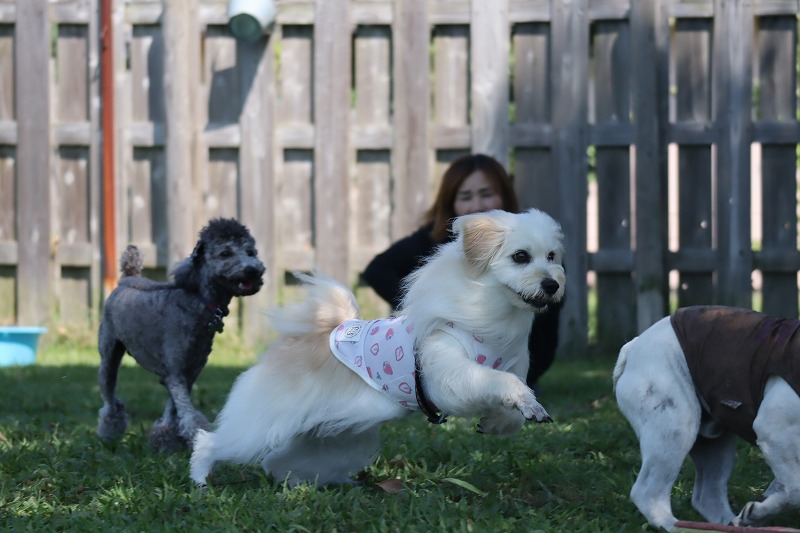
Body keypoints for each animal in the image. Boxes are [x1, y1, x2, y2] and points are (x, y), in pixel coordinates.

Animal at [97, 218, 265, 451]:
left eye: (250, 252)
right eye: (225, 253)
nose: (253, 270)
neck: (199, 303)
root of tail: (127, 278)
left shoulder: (189, 371)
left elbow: (174, 409)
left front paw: (167, 440)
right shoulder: (175, 372)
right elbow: (187, 413)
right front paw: (195, 440)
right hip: (109, 354)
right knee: (109, 397)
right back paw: (108, 432)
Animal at [190, 208, 566, 487]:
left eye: (551, 256)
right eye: (520, 256)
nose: (552, 284)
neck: (493, 318)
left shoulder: (513, 364)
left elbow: (512, 397)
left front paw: (503, 421)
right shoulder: (450, 376)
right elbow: (500, 381)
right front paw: (521, 404)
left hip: (335, 438)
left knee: (279, 461)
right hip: (259, 426)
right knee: (210, 442)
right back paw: (201, 481)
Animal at [613, 305, 800, 530]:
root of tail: (633, 346)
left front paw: (755, 514)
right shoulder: (775, 430)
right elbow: (795, 489)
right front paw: (758, 513)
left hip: (714, 445)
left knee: (708, 495)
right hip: (674, 427)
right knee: (649, 492)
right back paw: (678, 527)